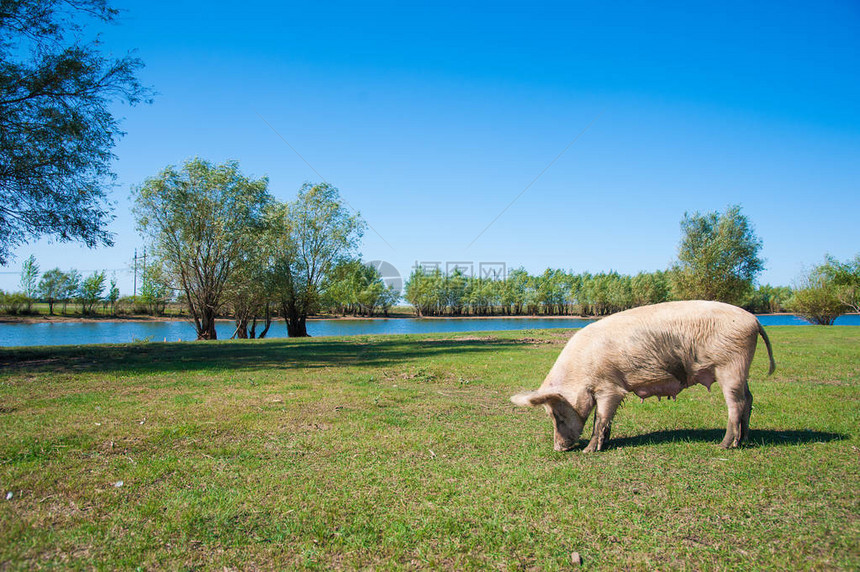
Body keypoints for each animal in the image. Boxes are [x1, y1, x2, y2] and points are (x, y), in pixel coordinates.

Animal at [512, 302, 776, 454]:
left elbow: (600, 418)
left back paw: (723, 445)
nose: (557, 448)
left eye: (556, 414)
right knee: (749, 399)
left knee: (736, 404)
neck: (580, 371)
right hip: (741, 370)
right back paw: (744, 441)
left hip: (730, 366)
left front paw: (589, 451)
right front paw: (605, 443)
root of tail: (754, 320)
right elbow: (606, 420)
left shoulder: (610, 387)